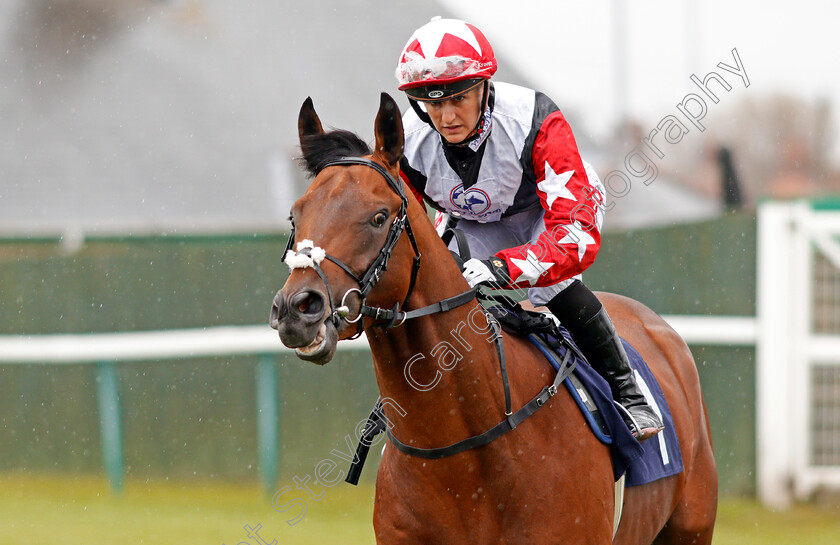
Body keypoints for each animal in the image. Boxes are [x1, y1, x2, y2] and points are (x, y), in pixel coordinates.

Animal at [270, 94, 716, 544]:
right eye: (294, 215)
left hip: (691, 528)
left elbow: (571, 233)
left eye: (379, 216)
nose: (297, 308)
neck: (463, 447)